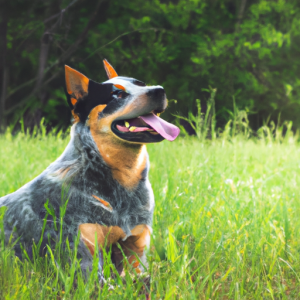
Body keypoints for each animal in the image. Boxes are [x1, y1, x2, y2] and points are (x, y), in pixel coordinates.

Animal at [0, 60, 178, 284]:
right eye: (117, 95)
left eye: (142, 84)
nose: (159, 90)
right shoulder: (84, 260)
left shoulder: (136, 248)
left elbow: (144, 277)